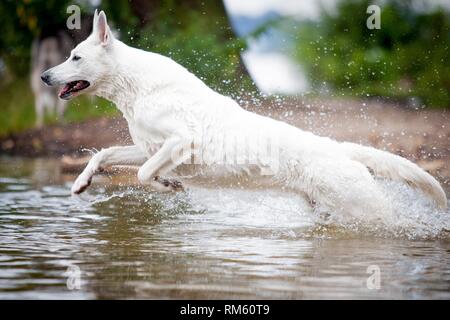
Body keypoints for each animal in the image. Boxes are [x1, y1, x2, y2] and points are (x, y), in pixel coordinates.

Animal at [41, 11, 446, 219]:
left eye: (75, 56)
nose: (44, 76)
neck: (135, 86)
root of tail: (339, 148)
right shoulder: (149, 147)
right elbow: (106, 155)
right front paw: (81, 183)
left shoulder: (180, 141)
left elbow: (143, 174)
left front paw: (170, 185)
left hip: (365, 208)